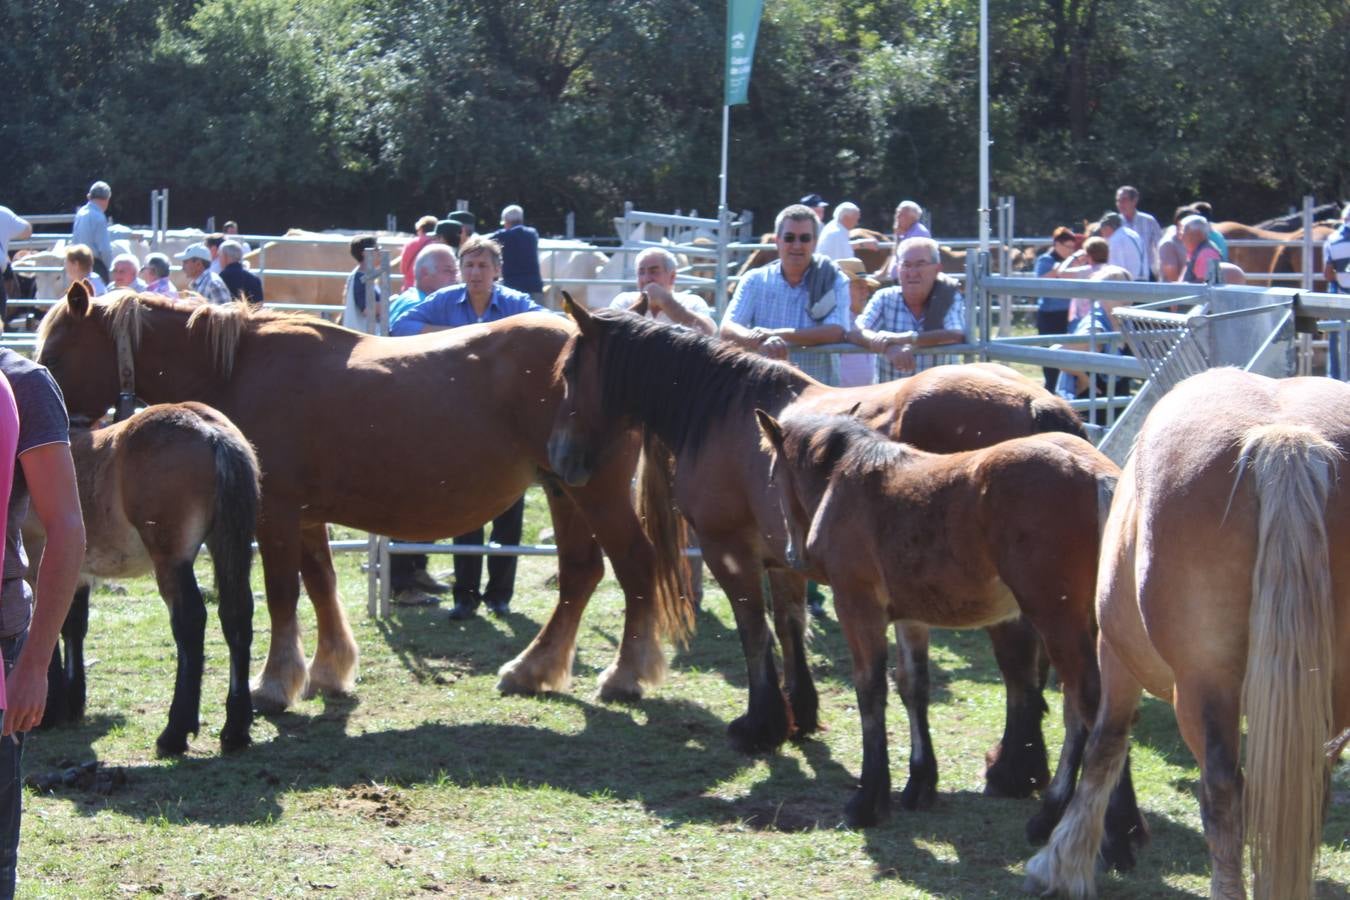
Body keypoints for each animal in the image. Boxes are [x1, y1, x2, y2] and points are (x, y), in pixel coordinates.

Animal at [29, 402, 259, 755]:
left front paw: (49, 710)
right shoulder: (79, 573)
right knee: (237, 615)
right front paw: (72, 702)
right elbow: (73, 626)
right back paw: (235, 729)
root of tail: (212, 432)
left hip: (172, 558)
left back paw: (174, 732)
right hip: (228, 544)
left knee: (190, 622)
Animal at [36, 284, 691, 723]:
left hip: (594, 492)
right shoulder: (305, 517)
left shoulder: (276, 514)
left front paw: (275, 684)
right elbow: (321, 585)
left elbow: (281, 595)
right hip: (562, 489)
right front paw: (328, 671)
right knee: (581, 573)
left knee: (634, 567)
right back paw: (534, 669)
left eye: (57, 355)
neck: (240, 368)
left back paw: (625, 676)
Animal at [548, 296, 1085, 809]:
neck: (724, 410)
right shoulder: (784, 557)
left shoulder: (730, 552)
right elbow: (790, 627)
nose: (560, 459)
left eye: (569, 370)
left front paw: (761, 725)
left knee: (1019, 671)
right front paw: (800, 714)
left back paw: (1013, 771)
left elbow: (754, 634)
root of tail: (1037, 403)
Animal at [1026, 367, 1344, 900]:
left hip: (1201, 686)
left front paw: (1063, 863)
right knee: (1302, 792)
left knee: (1223, 790)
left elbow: (1104, 744)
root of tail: (1286, 438)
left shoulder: (1114, 654)